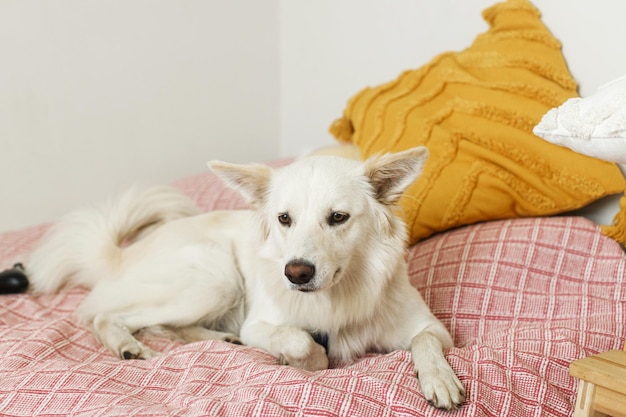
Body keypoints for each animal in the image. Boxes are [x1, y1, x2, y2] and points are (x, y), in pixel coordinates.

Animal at [26, 147, 464, 410]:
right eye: (284, 218)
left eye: (338, 217)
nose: (296, 273)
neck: (336, 299)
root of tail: (125, 253)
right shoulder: (260, 324)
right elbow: (303, 342)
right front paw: (301, 358)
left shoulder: (433, 329)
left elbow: (425, 341)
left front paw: (440, 379)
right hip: (216, 280)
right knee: (110, 316)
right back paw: (127, 346)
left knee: (167, 327)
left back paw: (222, 340)